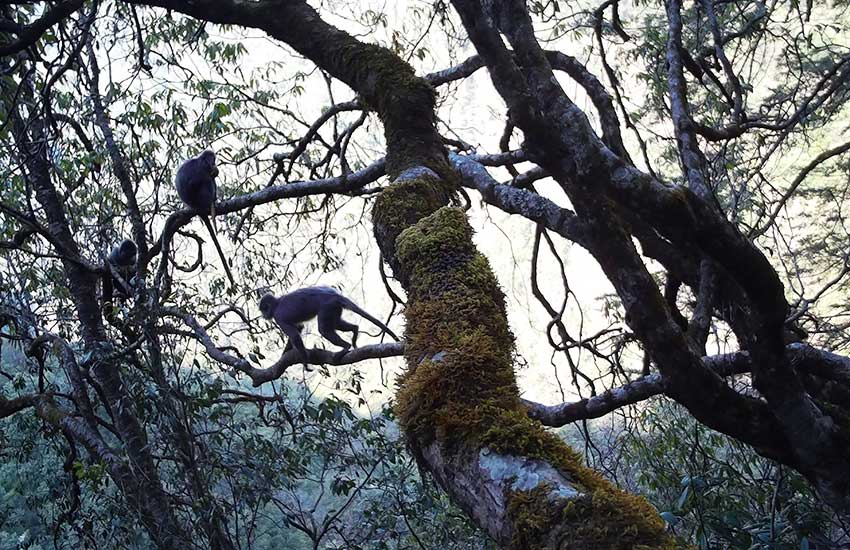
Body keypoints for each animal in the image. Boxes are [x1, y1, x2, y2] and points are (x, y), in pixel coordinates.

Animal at [174, 151, 235, 288]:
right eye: (212, 159)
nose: (214, 163)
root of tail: (196, 206)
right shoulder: (202, 167)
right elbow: (195, 182)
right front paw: (214, 172)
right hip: (203, 197)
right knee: (206, 181)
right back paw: (213, 200)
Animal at [258, 288, 400, 366]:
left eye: (264, 309)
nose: (263, 315)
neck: (277, 303)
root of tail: (334, 294)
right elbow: (299, 328)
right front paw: (286, 352)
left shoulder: (278, 316)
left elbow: (294, 334)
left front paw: (305, 362)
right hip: (334, 308)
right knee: (337, 324)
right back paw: (355, 330)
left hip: (327, 306)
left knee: (324, 330)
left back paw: (346, 346)